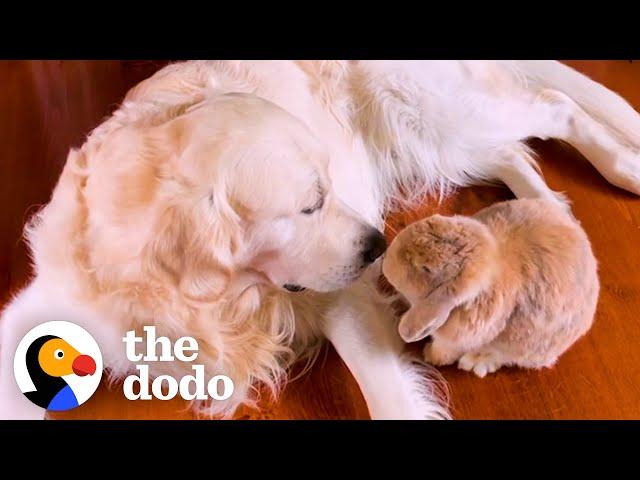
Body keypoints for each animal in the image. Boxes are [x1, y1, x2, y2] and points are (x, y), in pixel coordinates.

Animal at [384, 200, 600, 378]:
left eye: (426, 268)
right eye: (430, 220)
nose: (385, 259)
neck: (492, 257)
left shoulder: (457, 339)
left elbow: (444, 350)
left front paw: (430, 355)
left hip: (525, 348)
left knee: (504, 357)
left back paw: (475, 362)